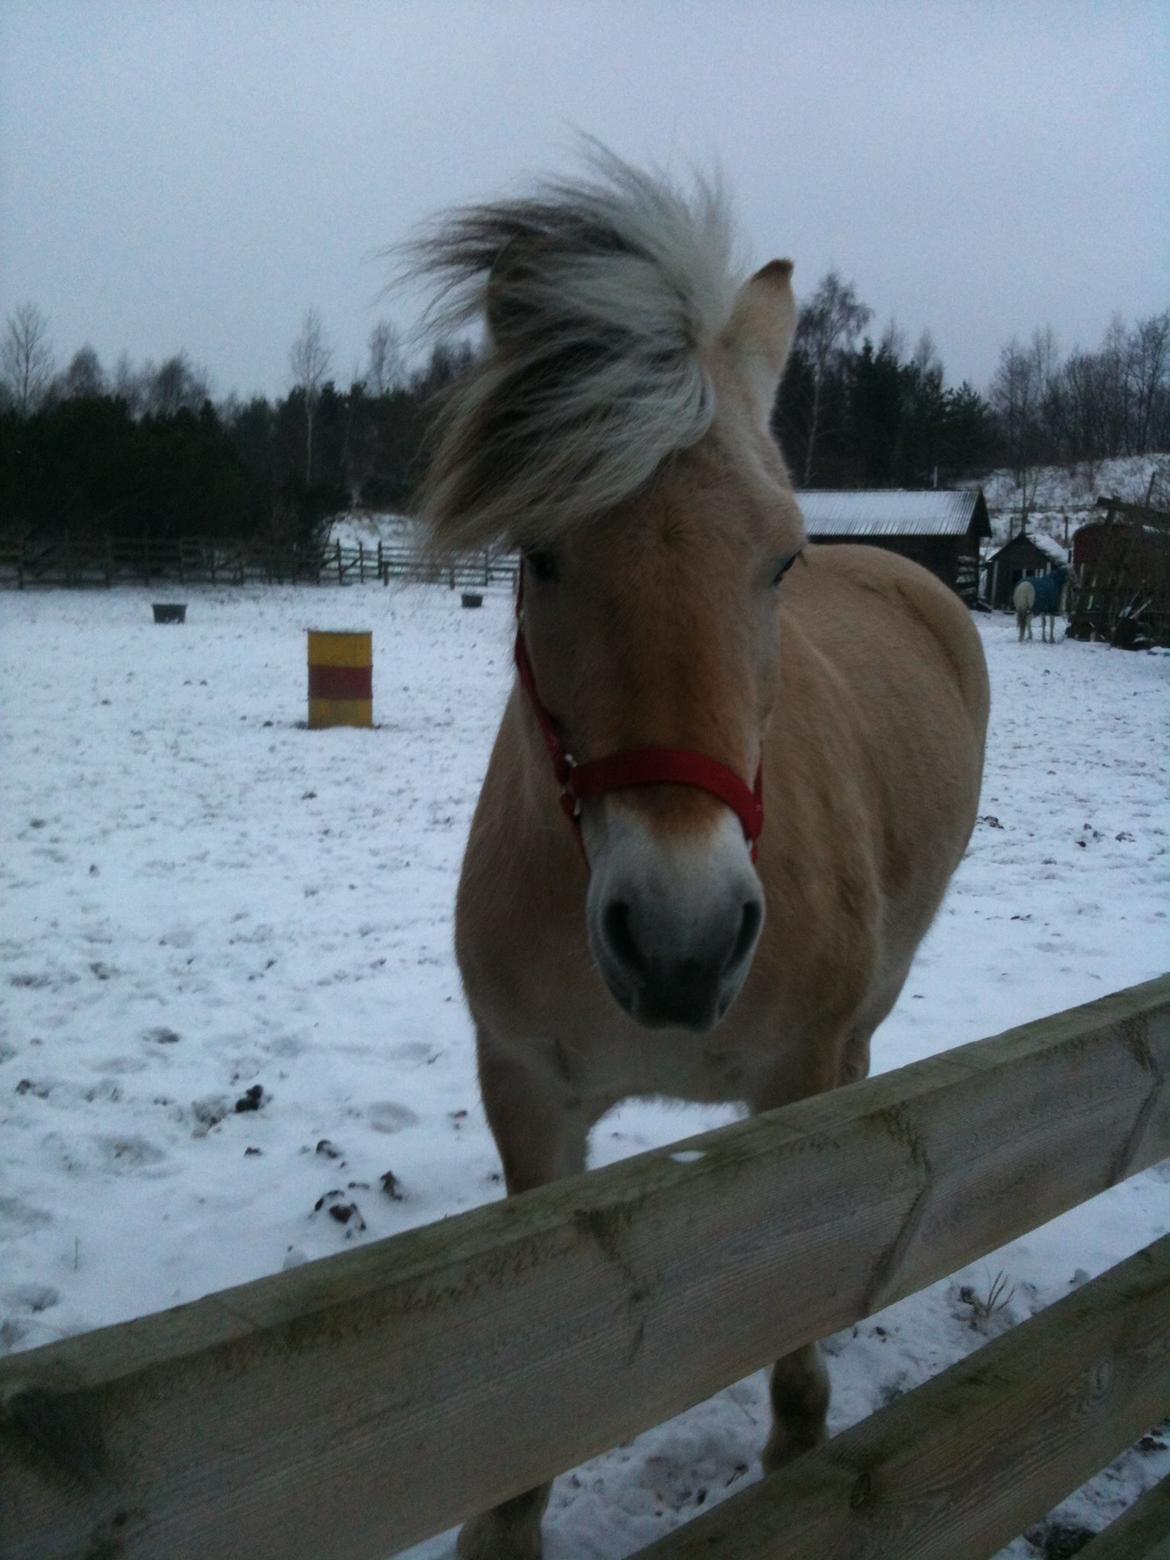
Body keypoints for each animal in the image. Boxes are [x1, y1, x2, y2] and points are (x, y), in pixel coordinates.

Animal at [402, 155, 992, 1560]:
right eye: (540, 550)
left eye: (781, 555)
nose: (681, 942)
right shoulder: (529, 1101)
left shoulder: (796, 1087)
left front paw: (799, 1445)